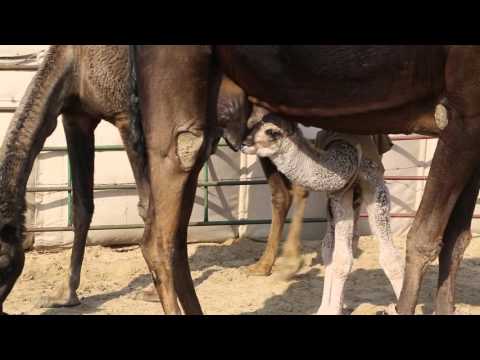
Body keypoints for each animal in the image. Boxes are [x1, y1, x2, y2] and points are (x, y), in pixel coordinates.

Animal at [242, 113, 404, 316]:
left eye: (272, 131)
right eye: (254, 124)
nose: (244, 143)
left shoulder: (375, 184)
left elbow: (390, 257)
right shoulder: (338, 194)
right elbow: (337, 256)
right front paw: (330, 309)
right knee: (335, 245)